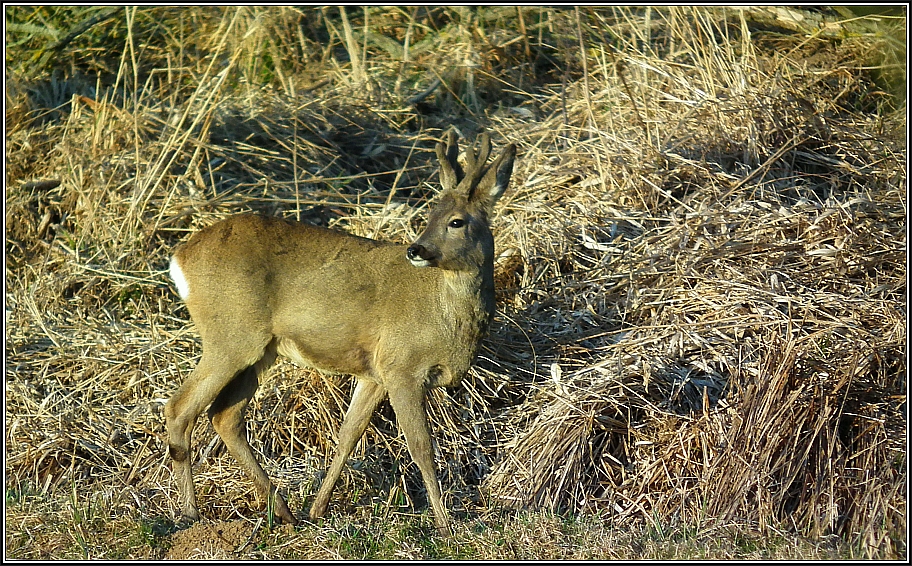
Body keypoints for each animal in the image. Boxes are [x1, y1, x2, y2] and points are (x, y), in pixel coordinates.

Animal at [165, 131, 516, 536]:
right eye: (430, 215)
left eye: (456, 221)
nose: (417, 249)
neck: (446, 315)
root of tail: (179, 259)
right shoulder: (402, 366)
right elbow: (421, 447)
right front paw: (446, 525)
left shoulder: (374, 373)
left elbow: (348, 437)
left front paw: (318, 509)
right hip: (231, 336)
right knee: (180, 408)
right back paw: (190, 514)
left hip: (258, 351)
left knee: (225, 416)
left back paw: (284, 511)